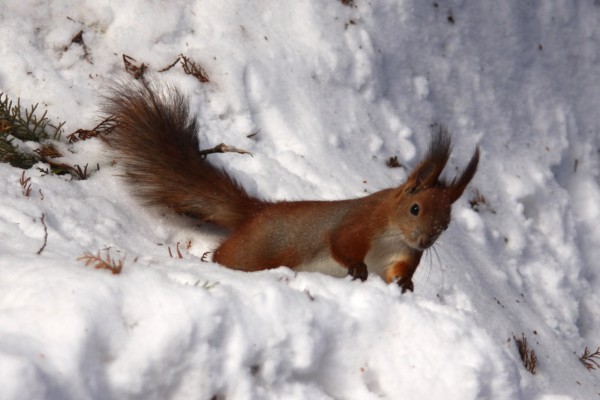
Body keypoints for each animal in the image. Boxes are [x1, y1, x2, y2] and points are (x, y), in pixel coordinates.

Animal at [103, 79, 478, 292]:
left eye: (446, 225)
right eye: (415, 208)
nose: (425, 241)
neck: (393, 234)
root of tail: (257, 213)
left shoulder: (402, 256)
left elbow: (395, 273)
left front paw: (405, 284)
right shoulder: (358, 223)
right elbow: (341, 242)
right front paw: (357, 267)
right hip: (255, 251)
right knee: (227, 256)